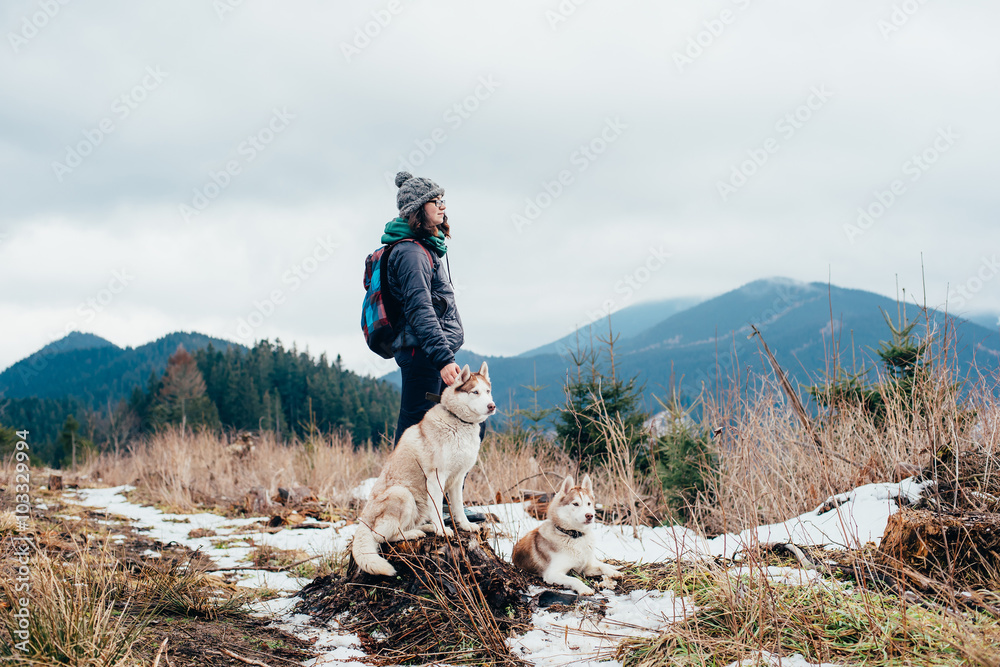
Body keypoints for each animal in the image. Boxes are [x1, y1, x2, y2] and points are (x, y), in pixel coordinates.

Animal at [352, 362, 496, 576]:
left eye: (487, 391)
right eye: (475, 392)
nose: (491, 406)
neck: (459, 423)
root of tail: (363, 519)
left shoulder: (458, 478)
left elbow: (458, 507)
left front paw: (465, 525)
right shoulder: (436, 477)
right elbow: (438, 509)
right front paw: (443, 530)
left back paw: (427, 528)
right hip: (401, 494)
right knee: (384, 536)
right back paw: (416, 532)